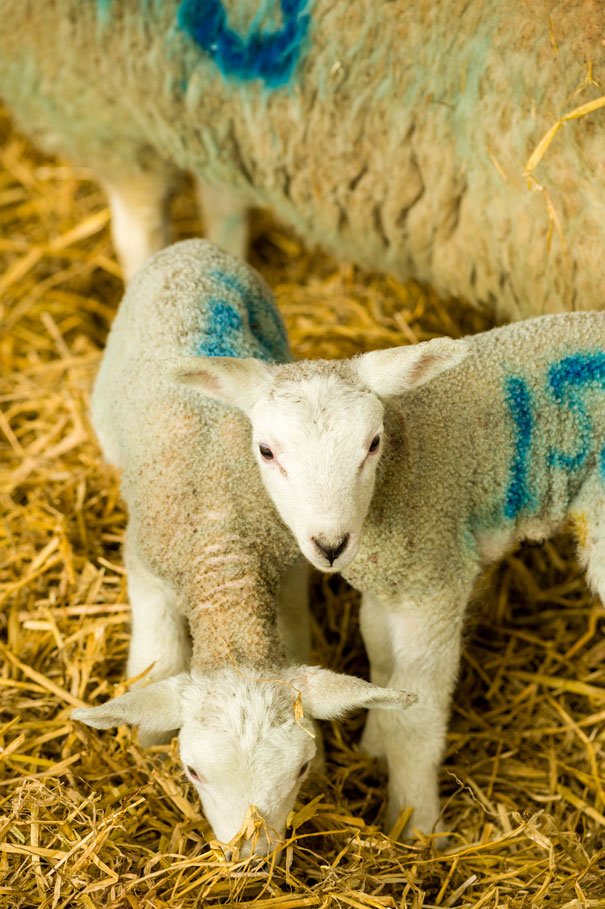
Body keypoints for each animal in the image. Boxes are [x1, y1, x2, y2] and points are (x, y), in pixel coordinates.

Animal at [69, 238, 410, 856]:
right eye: (192, 771)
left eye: (299, 770)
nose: (251, 858)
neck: (222, 540)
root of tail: (192, 247)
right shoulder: (145, 563)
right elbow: (158, 656)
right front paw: (146, 742)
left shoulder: (290, 564)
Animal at [173, 312, 604, 836]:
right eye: (266, 451)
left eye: (373, 445)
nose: (330, 545)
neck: (406, 464)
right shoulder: (389, 584)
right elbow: (379, 657)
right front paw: (373, 741)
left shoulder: (434, 582)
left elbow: (415, 722)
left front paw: (415, 822)